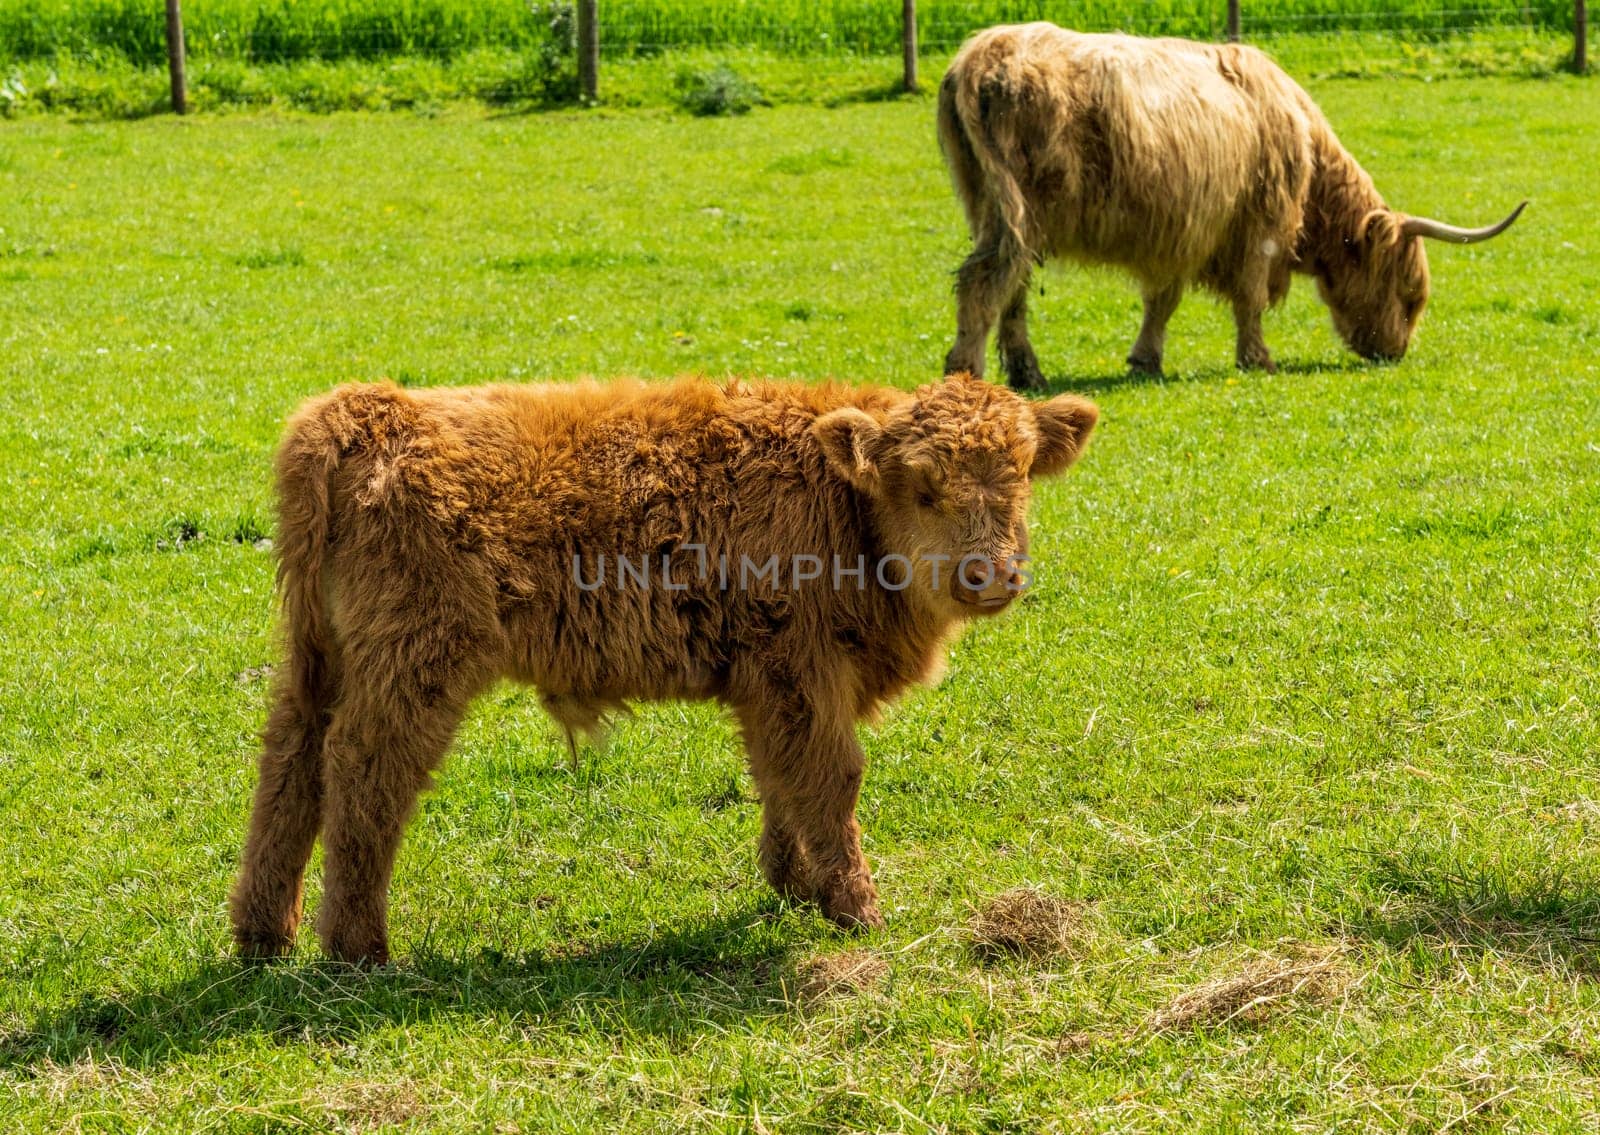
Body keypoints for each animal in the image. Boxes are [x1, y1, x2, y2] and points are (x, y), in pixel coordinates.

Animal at [228, 374, 1100, 966]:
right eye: (921, 486)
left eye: (1021, 475)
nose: (990, 574)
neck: (839, 504)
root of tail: (369, 409)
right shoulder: (797, 670)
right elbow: (830, 776)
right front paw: (856, 908)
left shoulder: (775, 683)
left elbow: (781, 777)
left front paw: (793, 884)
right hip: (414, 663)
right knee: (364, 773)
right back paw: (359, 948)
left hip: (318, 657)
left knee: (290, 763)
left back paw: (264, 932)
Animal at [934, 22, 1523, 382]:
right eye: (1408, 293)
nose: (1394, 351)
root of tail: (979, 58)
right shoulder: (1259, 225)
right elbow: (1250, 297)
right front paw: (1258, 358)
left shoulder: (1181, 230)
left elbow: (1162, 301)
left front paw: (1145, 360)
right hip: (1019, 210)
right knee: (986, 283)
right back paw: (966, 371)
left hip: (990, 206)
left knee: (1012, 291)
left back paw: (1028, 373)